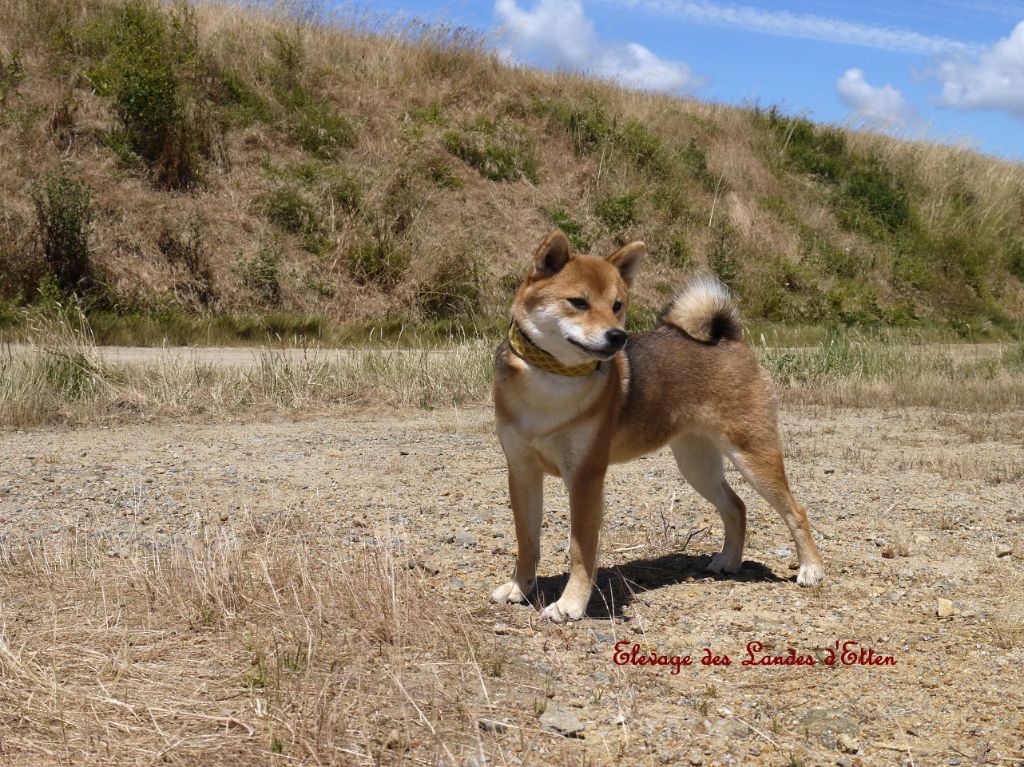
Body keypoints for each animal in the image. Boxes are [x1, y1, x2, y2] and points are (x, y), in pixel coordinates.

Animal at [487, 229, 823, 622]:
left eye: (617, 305)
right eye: (578, 302)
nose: (617, 336)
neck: (551, 380)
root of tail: (730, 339)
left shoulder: (585, 477)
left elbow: (580, 551)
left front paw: (571, 605)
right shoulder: (522, 471)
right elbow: (527, 541)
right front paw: (519, 588)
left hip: (753, 456)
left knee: (795, 511)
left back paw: (811, 569)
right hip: (696, 465)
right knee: (736, 507)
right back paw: (729, 561)